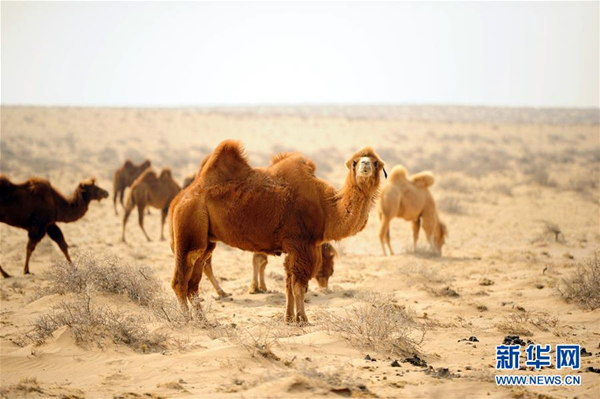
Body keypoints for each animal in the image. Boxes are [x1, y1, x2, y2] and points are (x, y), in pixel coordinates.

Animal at [169, 139, 384, 324]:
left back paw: (203, 320)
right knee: (181, 280)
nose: (365, 164)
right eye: (355, 162)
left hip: (207, 240)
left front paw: (289, 318)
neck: (327, 209)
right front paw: (303, 320)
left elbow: (288, 284)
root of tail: (179, 199)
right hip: (190, 224)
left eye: (375, 162)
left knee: (194, 282)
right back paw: (187, 320)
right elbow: (299, 287)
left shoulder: (292, 248)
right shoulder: (302, 244)